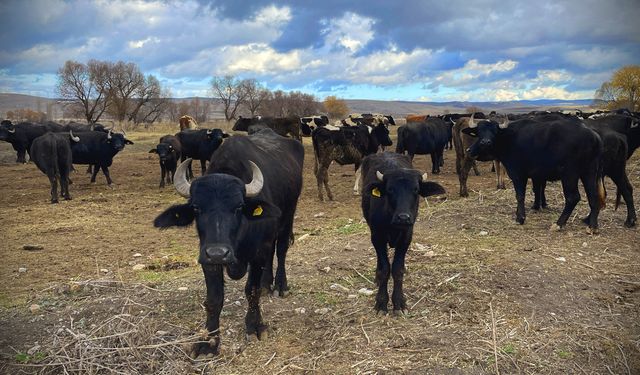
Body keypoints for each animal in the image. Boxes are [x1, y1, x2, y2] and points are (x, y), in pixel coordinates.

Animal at [155, 129, 304, 358]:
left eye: (239, 207)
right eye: (196, 208)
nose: (219, 253)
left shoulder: (257, 251)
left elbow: (251, 290)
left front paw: (255, 326)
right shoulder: (207, 257)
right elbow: (214, 299)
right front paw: (208, 342)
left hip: (288, 215)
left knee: (280, 249)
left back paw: (280, 285)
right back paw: (266, 284)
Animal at [360, 152, 444, 314]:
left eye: (416, 190)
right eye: (390, 189)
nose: (403, 217)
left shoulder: (406, 237)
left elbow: (397, 269)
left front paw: (399, 302)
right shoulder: (377, 237)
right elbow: (385, 269)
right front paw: (381, 302)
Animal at [460, 116, 604, 232]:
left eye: (495, 132)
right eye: (479, 132)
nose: (485, 142)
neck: (509, 139)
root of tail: (593, 135)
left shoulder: (518, 175)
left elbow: (520, 196)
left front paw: (520, 218)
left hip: (570, 175)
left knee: (573, 197)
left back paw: (558, 224)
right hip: (589, 172)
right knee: (593, 196)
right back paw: (592, 226)